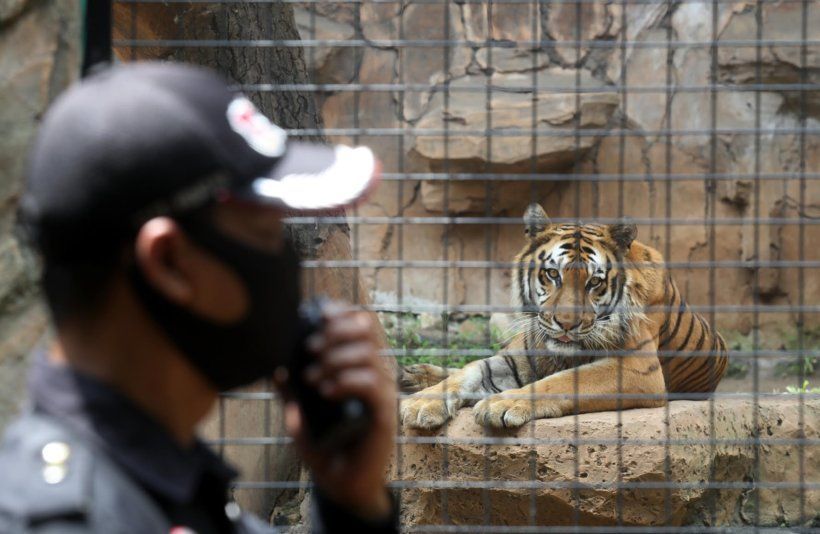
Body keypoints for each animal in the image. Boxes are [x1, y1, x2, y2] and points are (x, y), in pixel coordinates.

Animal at [400, 202, 728, 432]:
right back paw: (412, 376)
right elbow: (470, 371)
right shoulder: (517, 357)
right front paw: (422, 402)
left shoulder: (638, 369)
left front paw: (503, 403)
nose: (567, 324)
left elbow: (561, 381)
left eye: (594, 282)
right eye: (552, 274)